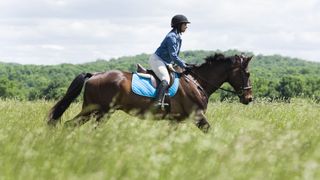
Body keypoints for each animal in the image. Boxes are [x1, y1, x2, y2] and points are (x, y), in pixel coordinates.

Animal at [47, 53, 252, 132]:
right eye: (247, 73)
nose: (249, 98)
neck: (197, 82)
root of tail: (94, 75)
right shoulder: (198, 117)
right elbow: (211, 132)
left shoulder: (175, 121)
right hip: (97, 111)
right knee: (70, 125)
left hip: (98, 112)